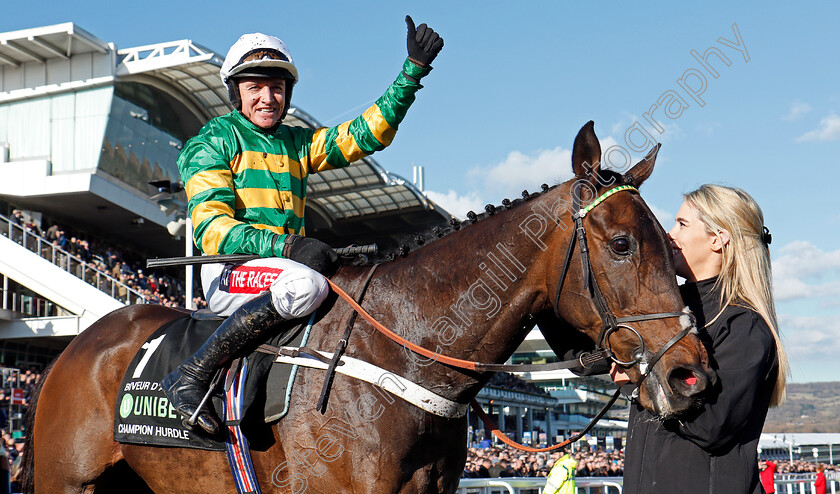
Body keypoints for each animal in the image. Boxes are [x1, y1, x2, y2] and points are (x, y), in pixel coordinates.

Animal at [23, 120, 712, 494]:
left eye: (672, 246)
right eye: (622, 244)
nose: (692, 376)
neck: (400, 358)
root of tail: (78, 345)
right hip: (66, 480)